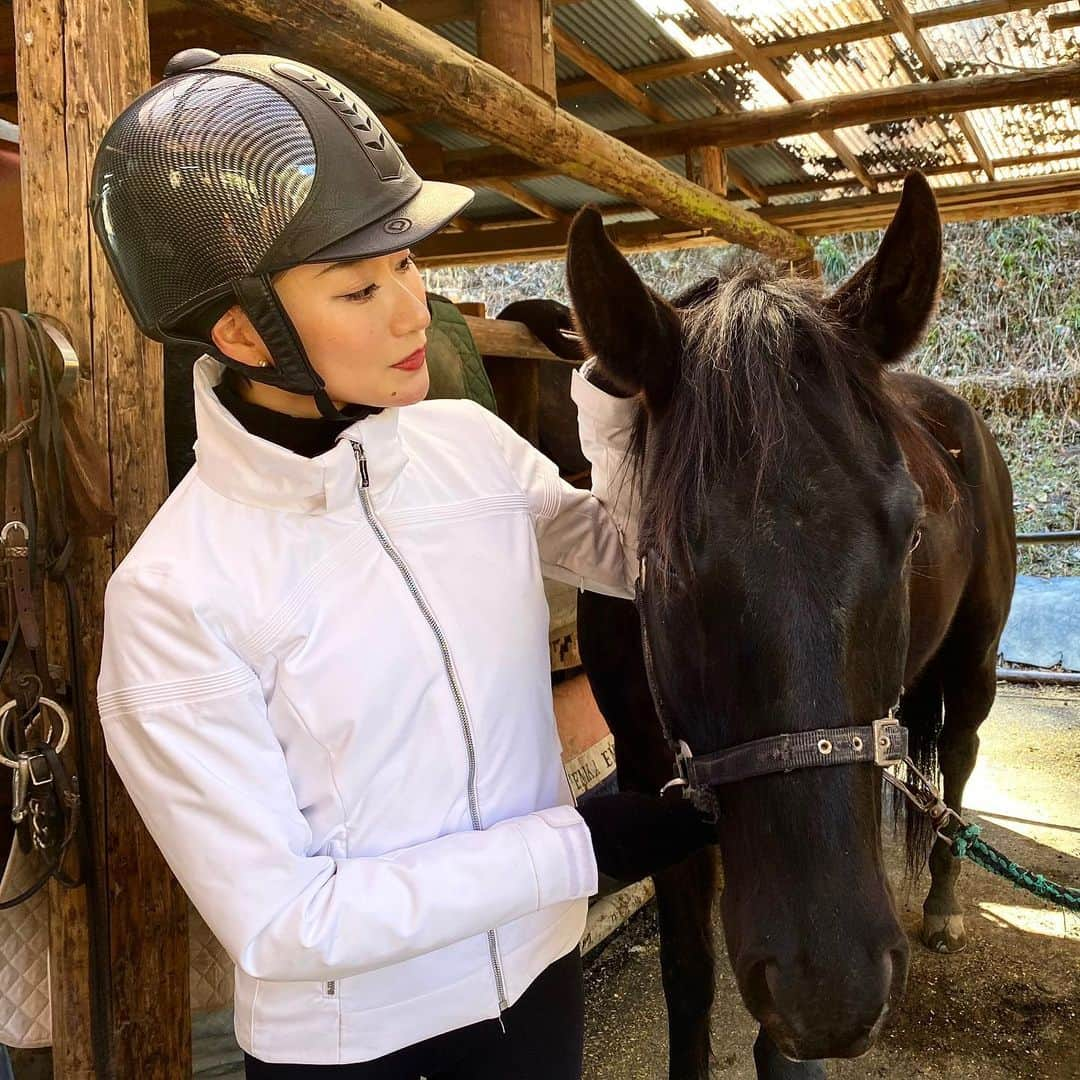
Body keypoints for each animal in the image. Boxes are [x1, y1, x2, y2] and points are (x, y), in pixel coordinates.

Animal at [548, 172, 1010, 1075]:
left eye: (910, 533)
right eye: (655, 560)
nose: (833, 993)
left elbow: (772, 1043)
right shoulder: (655, 778)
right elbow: (688, 975)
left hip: (976, 661)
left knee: (960, 759)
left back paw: (941, 903)